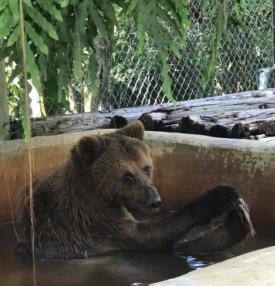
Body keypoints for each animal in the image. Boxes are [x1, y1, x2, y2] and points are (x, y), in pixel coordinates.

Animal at [16, 120, 256, 260]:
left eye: (146, 168)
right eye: (127, 176)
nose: (155, 201)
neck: (97, 191)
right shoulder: (93, 220)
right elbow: (149, 236)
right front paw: (220, 199)